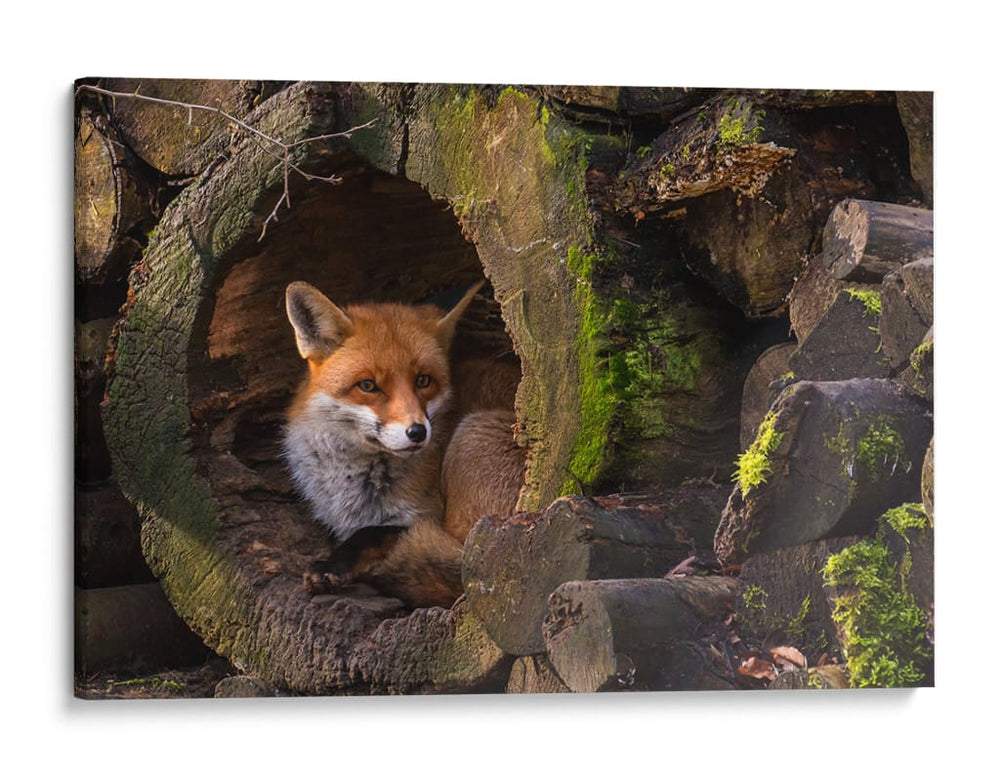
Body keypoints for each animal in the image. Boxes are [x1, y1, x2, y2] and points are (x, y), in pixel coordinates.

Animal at [283, 279, 525, 608]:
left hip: (472, 442)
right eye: (368, 385)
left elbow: (373, 533)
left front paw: (334, 565)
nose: (418, 432)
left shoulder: (423, 515)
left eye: (423, 380)